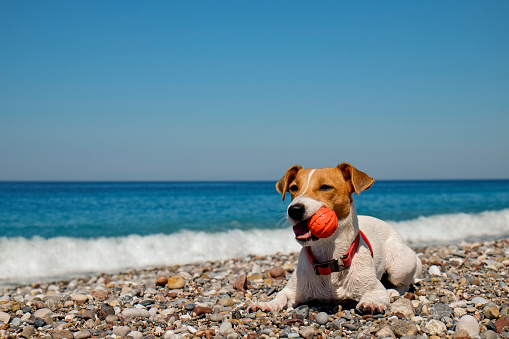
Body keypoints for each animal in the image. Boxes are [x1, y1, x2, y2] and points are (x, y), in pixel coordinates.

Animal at [249, 163, 420, 314]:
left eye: (325, 187)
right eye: (293, 188)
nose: (294, 210)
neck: (329, 259)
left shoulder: (375, 289)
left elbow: (375, 294)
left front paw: (371, 303)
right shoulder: (292, 290)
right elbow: (281, 296)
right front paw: (268, 304)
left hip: (399, 266)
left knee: (404, 284)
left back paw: (392, 291)